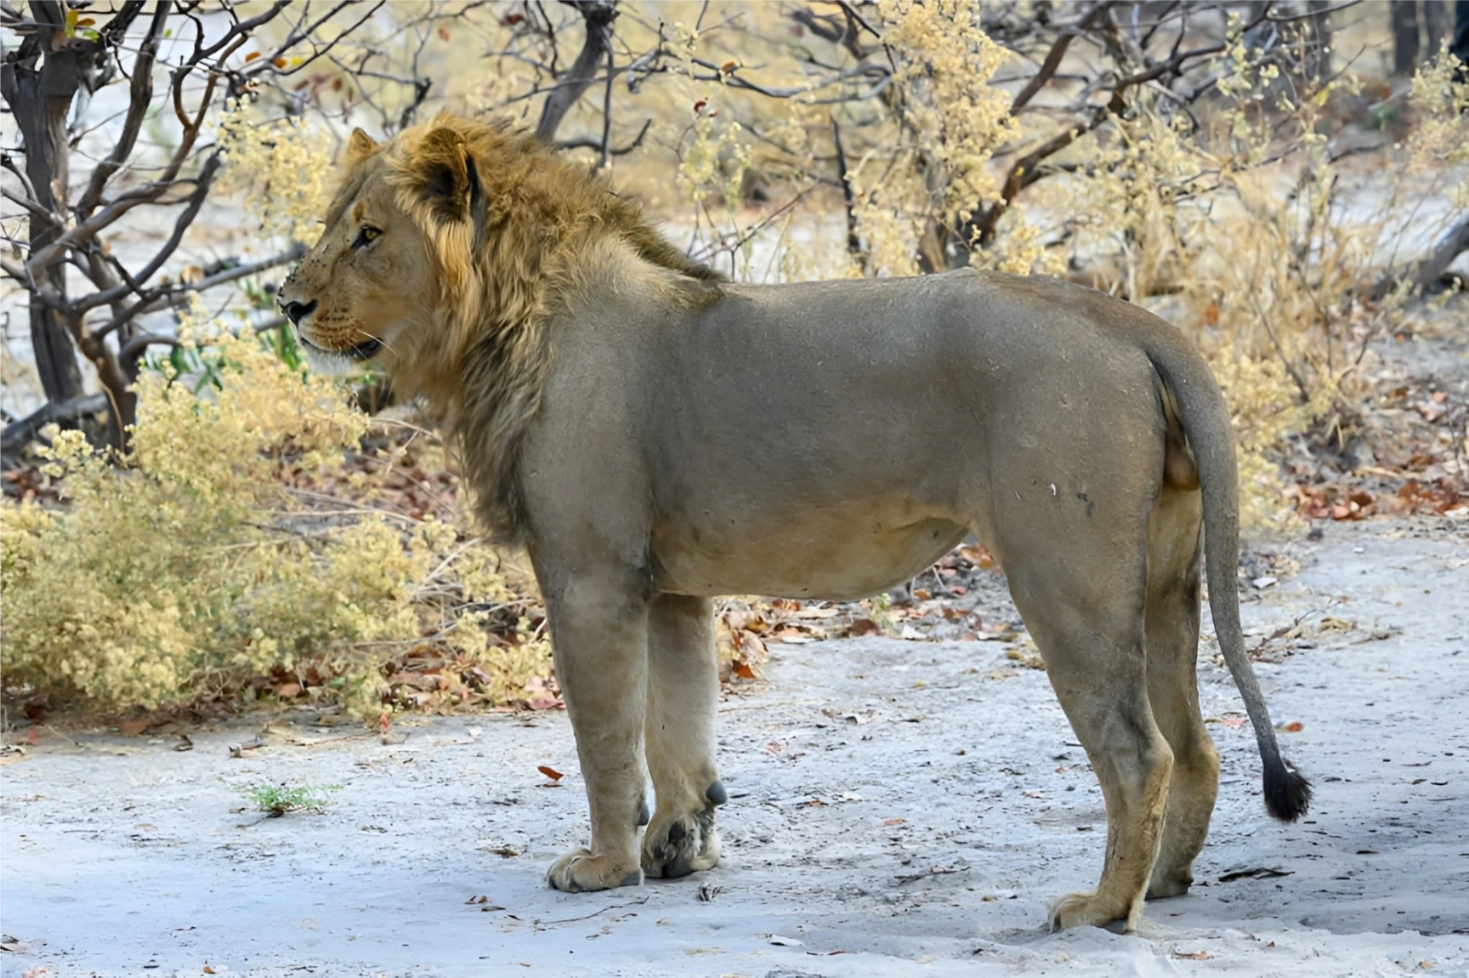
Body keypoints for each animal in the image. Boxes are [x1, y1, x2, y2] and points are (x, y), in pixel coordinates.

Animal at [277, 115, 1310, 932]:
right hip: (1164, 580)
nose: (287, 305)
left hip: (1066, 576)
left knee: (1139, 753)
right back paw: (1166, 884)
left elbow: (605, 739)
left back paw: (1101, 910)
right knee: (1196, 743)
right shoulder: (669, 587)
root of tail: (1131, 319)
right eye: (335, 228)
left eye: (367, 235)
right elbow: (679, 724)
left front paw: (604, 865)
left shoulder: (589, 575)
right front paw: (678, 847)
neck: (500, 325)